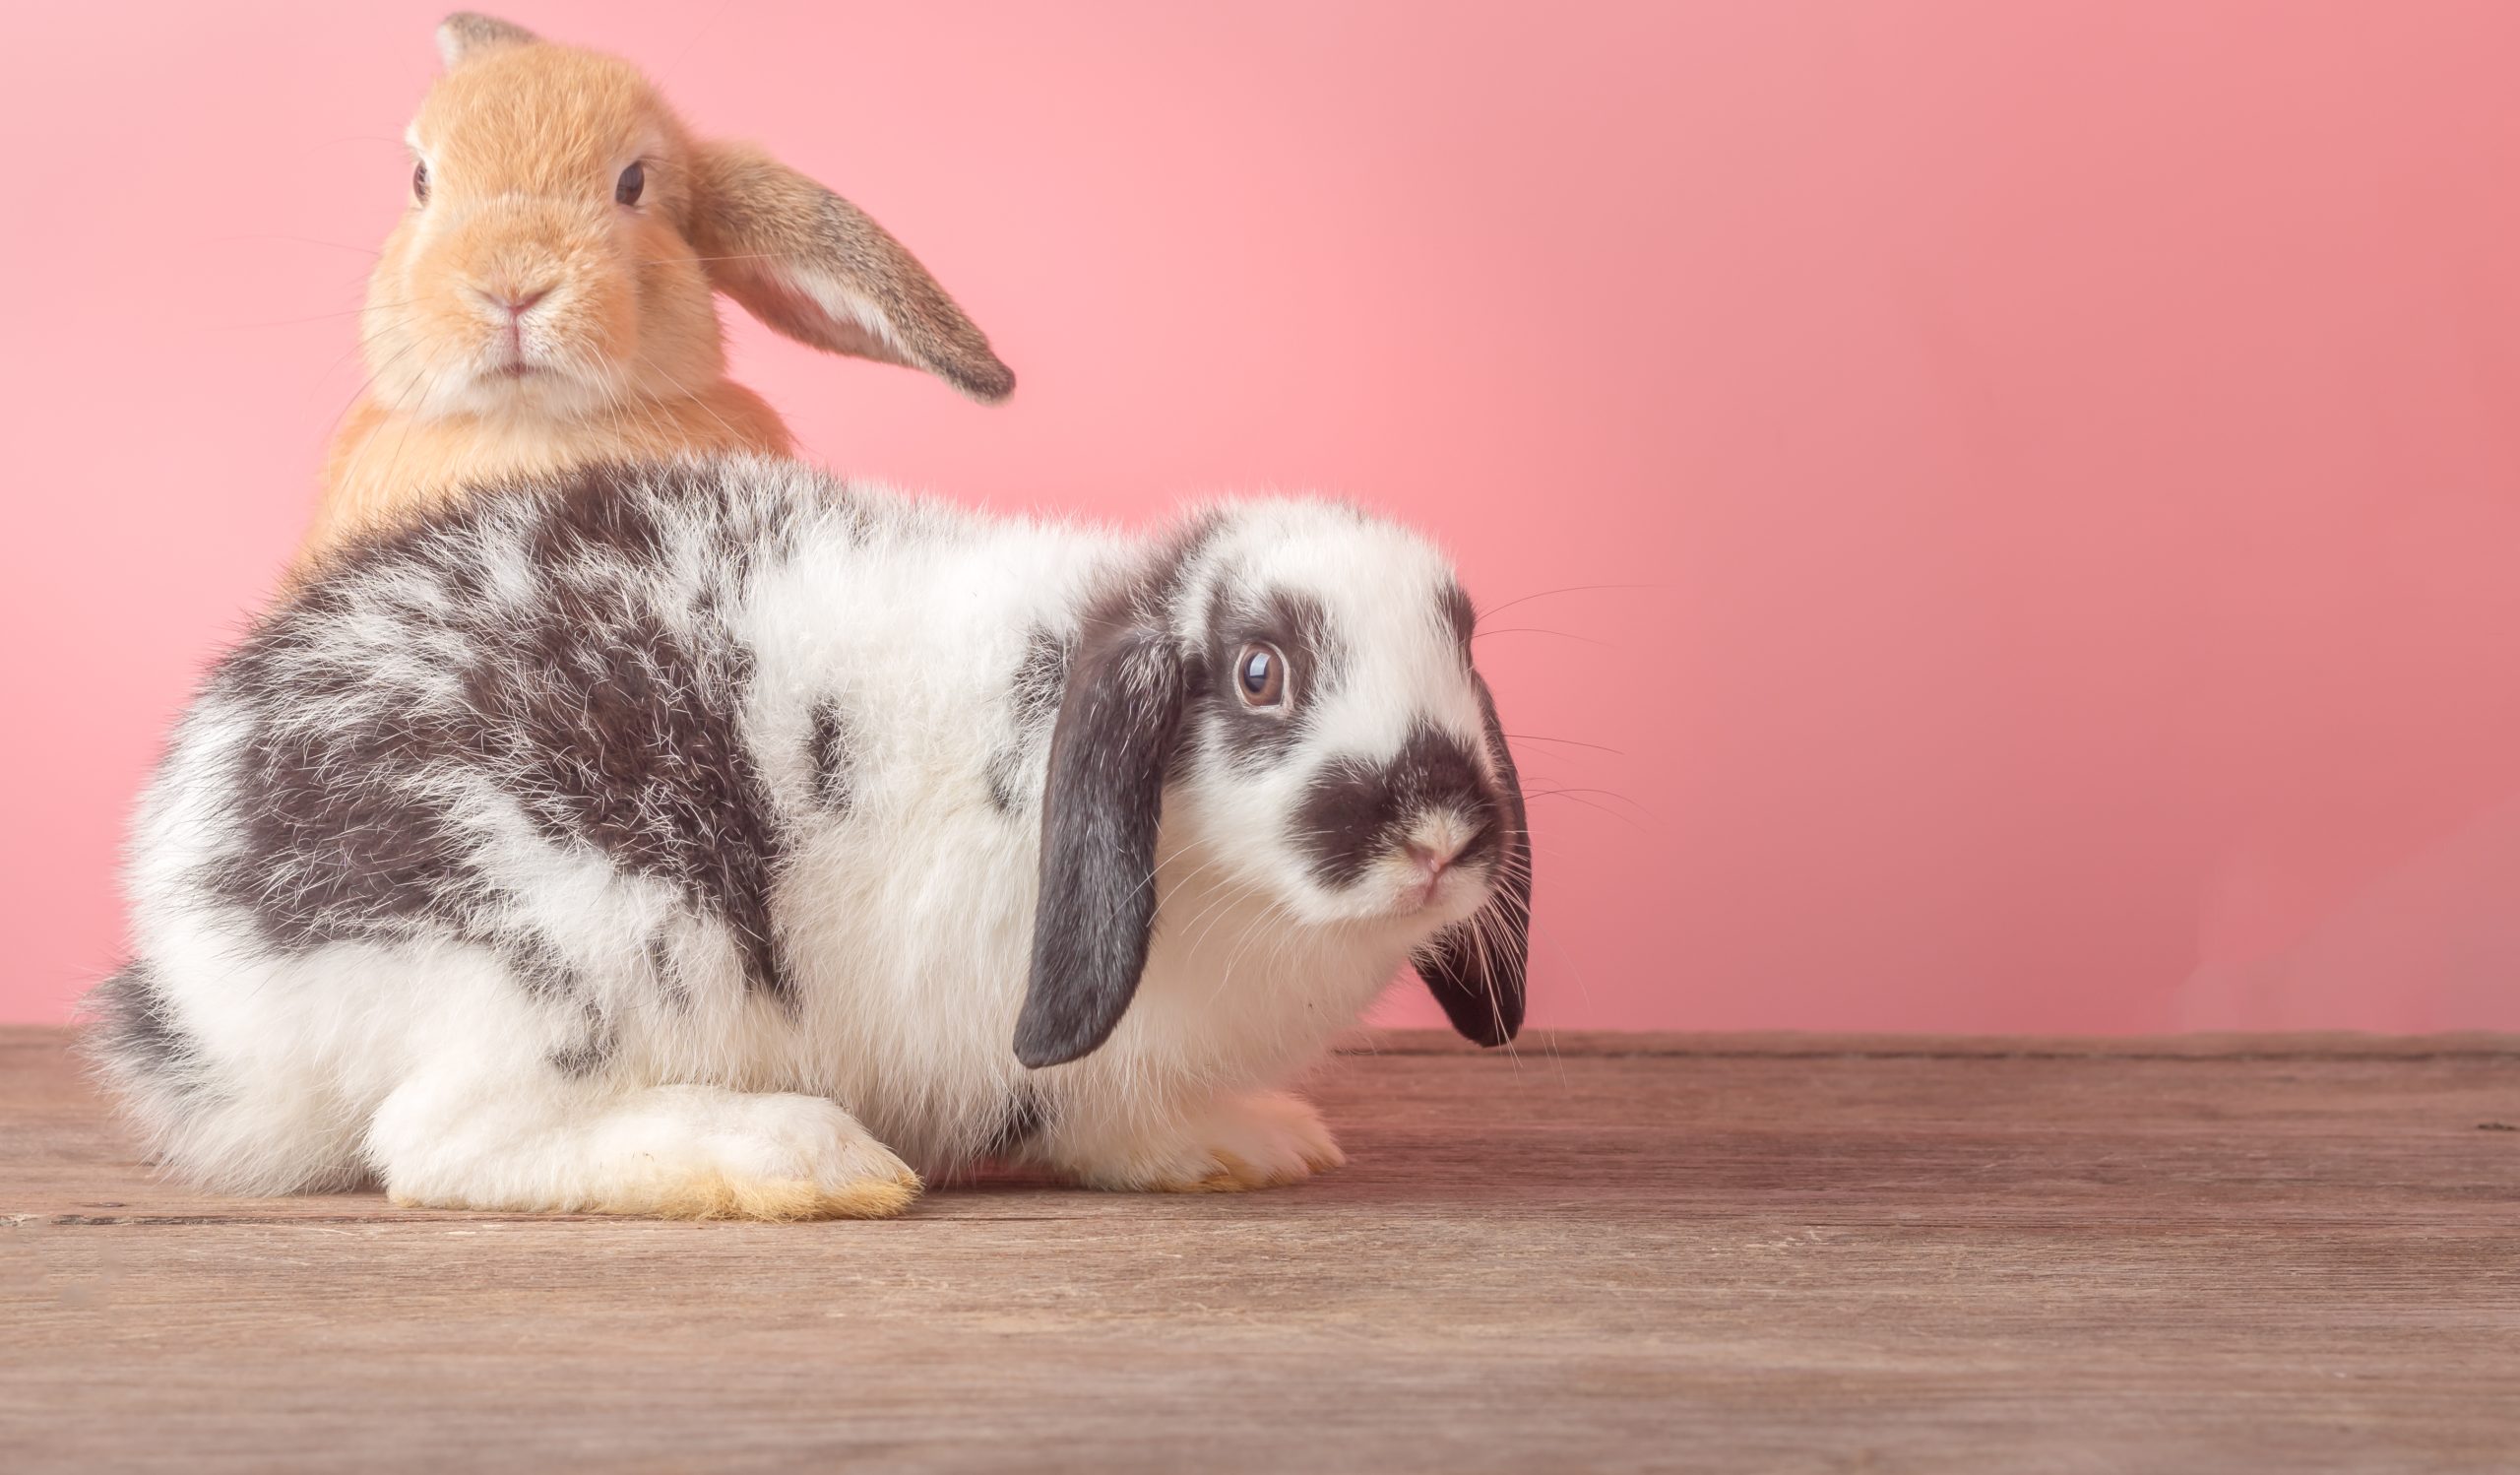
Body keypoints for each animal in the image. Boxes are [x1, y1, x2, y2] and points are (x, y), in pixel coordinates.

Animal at [88, 455, 1532, 1218]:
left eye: (1465, 640)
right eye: (1256, 673)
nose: (1437, 830)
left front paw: (1251, 1140)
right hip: (586, 935)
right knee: (444, 1139)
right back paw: (800, 1158)